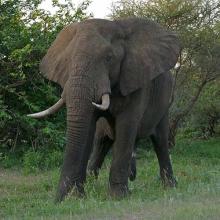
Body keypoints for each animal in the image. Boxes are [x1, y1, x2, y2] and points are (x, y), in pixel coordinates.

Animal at [27, 18, 180, 202]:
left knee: (160, 141)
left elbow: (126, 126)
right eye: (67, 60)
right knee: (101, 143)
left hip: (164, 103)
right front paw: (78, 196)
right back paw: (94, 182)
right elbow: (88, 129)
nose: (58, 200)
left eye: (109, 58)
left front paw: (118, 197)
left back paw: (170, 187)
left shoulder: (136, 79)